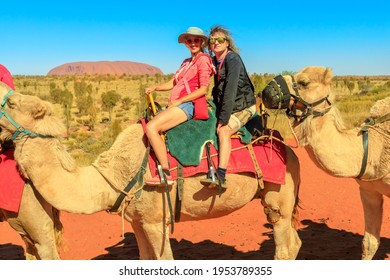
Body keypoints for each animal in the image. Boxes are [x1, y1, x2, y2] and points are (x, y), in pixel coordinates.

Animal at [0, 83, 302, 260]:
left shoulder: (158, 220)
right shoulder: (138, 220)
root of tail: (288, 149)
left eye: (12, 104)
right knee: (294, 242)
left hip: (278, 195)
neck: (112, 178)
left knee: (283, 245)